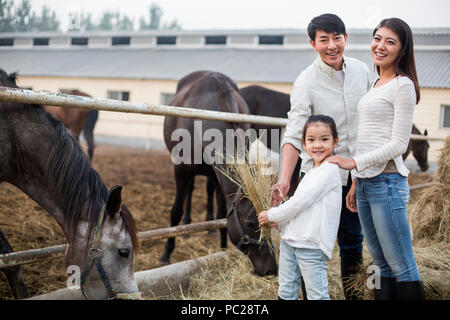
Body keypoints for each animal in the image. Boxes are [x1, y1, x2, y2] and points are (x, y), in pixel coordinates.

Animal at [159, 71, 278, 276]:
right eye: (251, 223)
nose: (271, 269)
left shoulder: (220, 174)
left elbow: (223, 213)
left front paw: (222, 249)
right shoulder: (180, 170)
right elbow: (175, 211)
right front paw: (166, 253)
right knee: (190, 191)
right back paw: (188, 222)